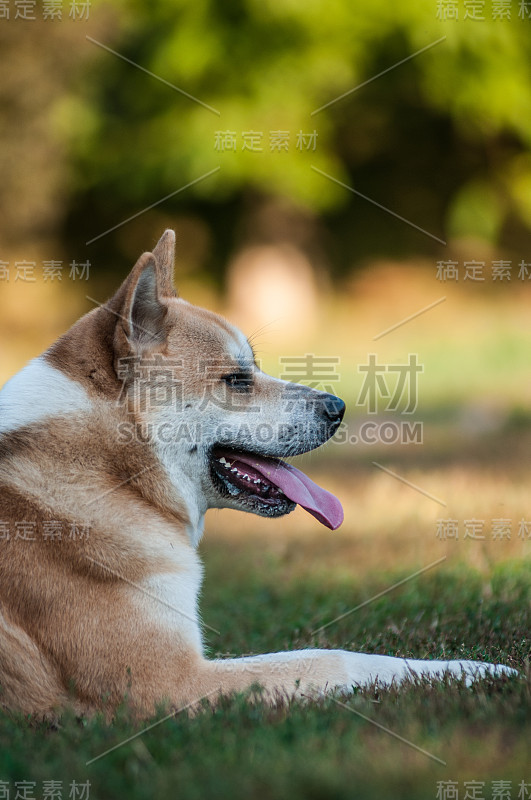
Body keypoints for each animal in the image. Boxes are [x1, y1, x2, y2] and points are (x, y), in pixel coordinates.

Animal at [0, 231, 516, 720]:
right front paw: (476, 671)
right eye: (236, 380)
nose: (338, 408)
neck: (112, 471)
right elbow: (335, 657)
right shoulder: (165, 682)